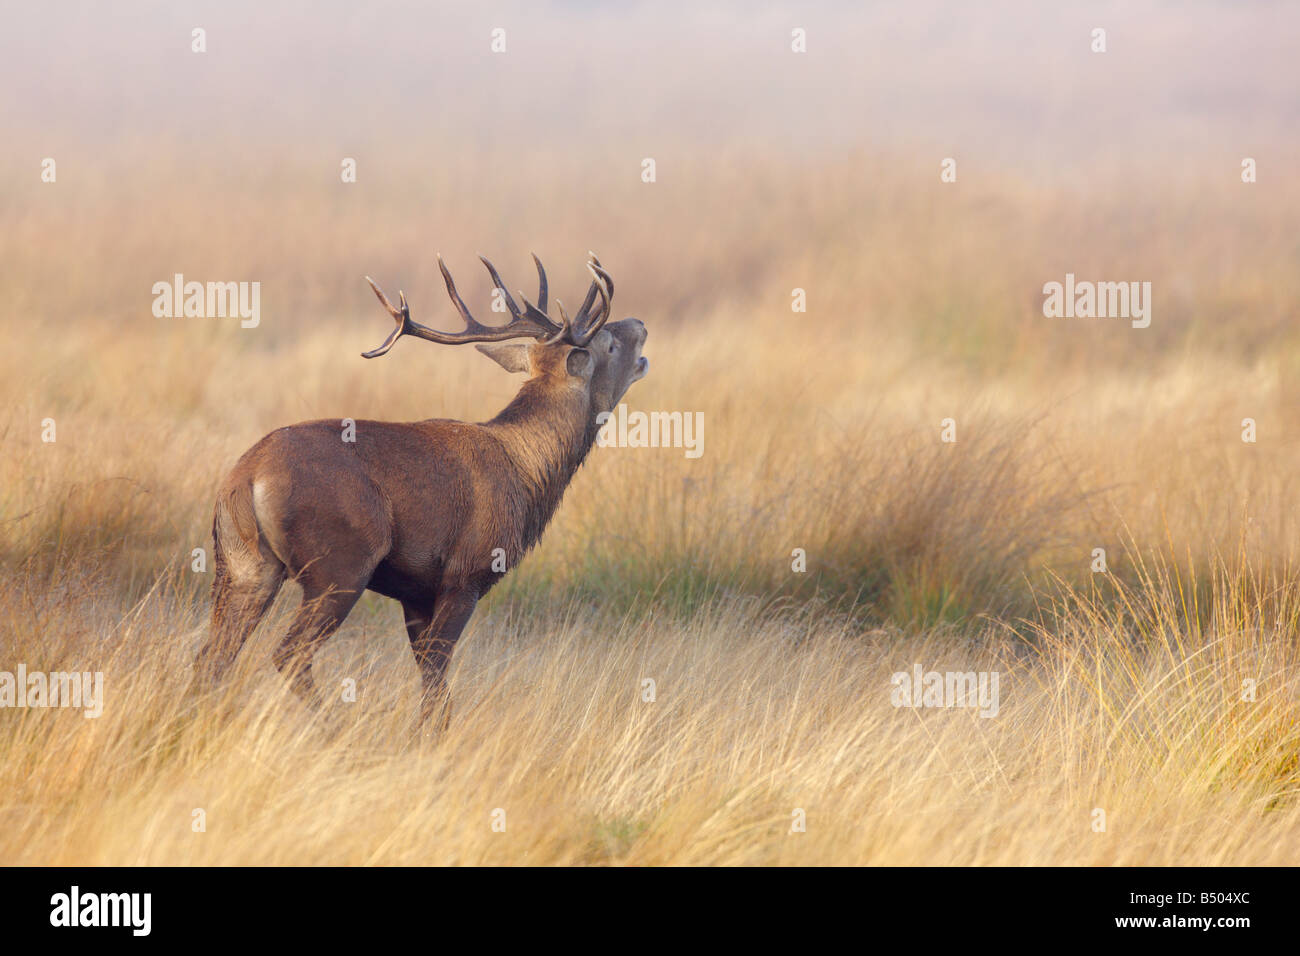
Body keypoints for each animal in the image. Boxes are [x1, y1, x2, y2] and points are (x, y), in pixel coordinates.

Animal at [191, 253, 648, 728]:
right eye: (608, 344)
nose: (640, 324)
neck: (525, 473)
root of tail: (246, 479)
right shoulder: (464, 573)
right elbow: (437, 685)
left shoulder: (415, 590)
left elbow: (433, 686)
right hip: (340, 564)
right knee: (289, 653)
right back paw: (336, 728)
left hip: (243, 565)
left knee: (212, 657)